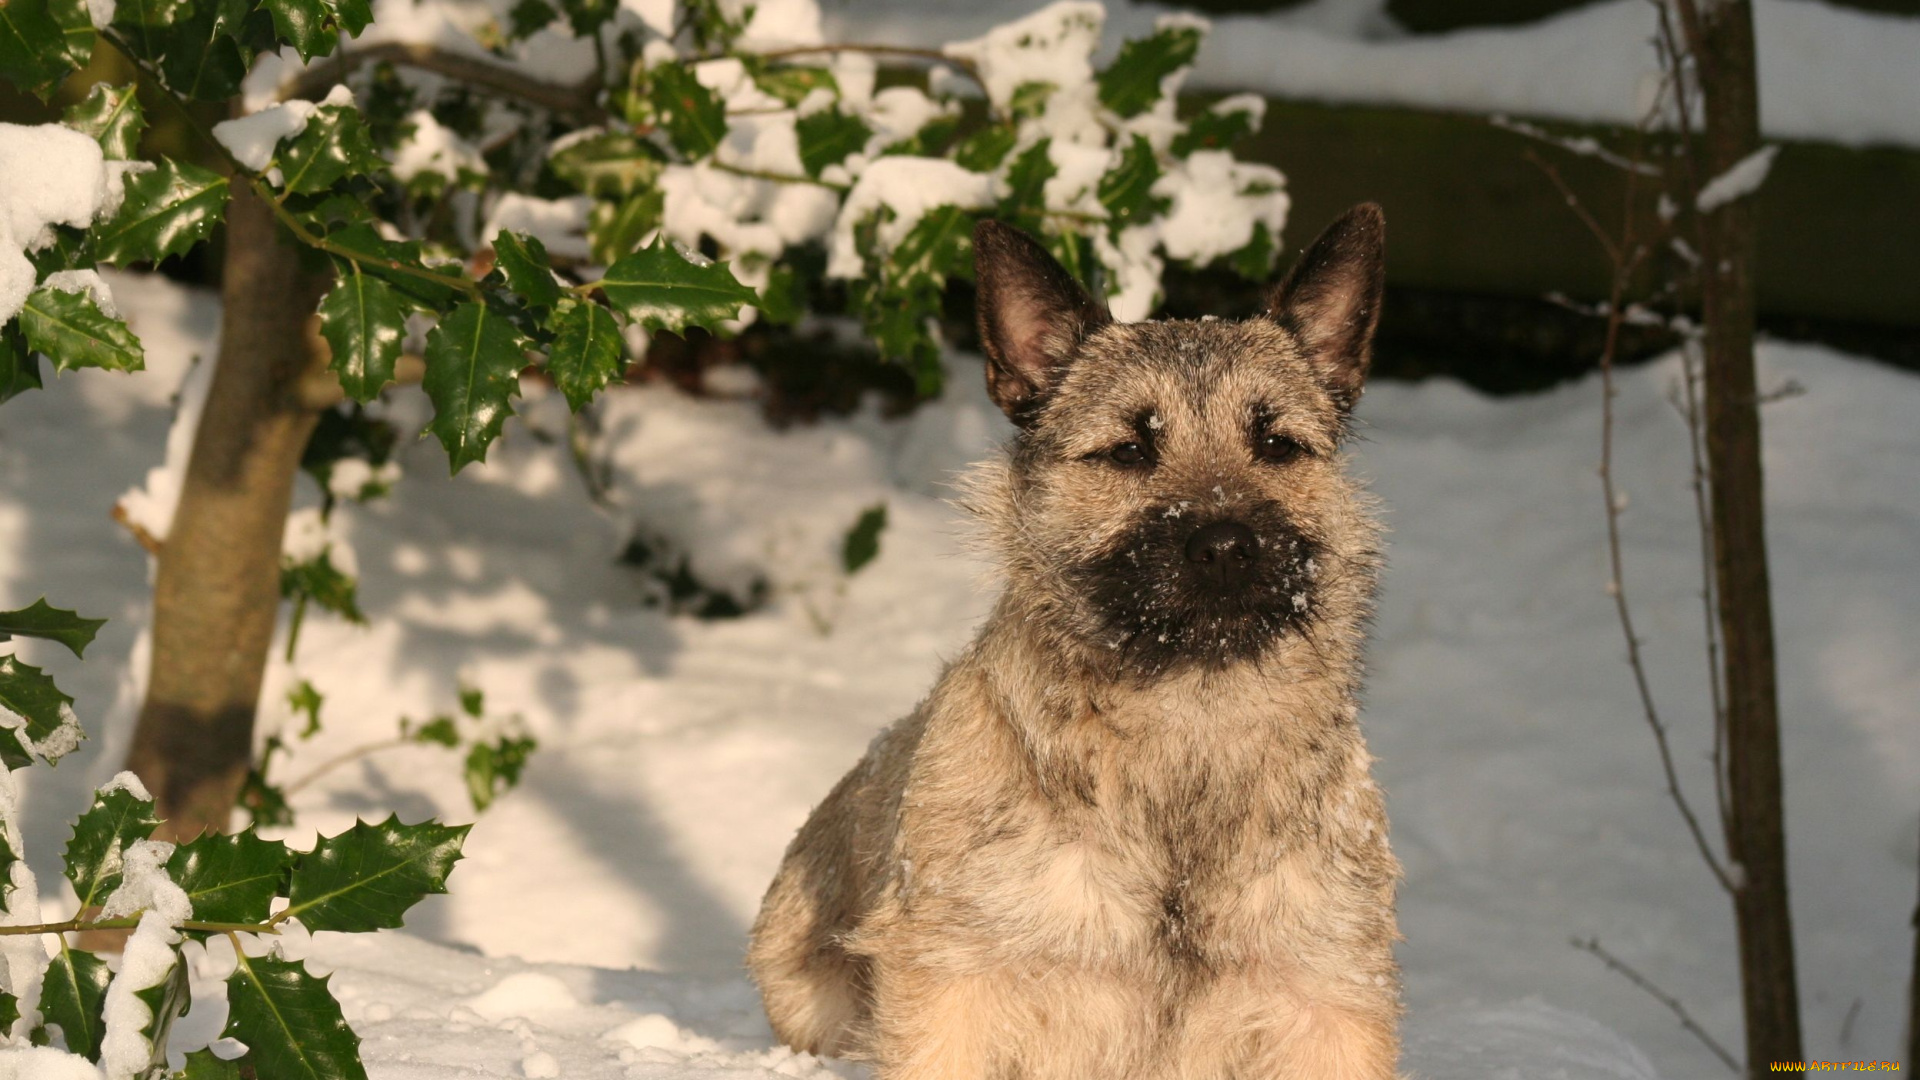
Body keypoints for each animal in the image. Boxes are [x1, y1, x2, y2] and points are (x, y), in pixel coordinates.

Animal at [744, 203, 1397, 1076]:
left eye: (1276, 444)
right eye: (1128, 449)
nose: (1227, 546)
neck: (1186, 729)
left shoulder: (1327, 993)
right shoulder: (956, 979)